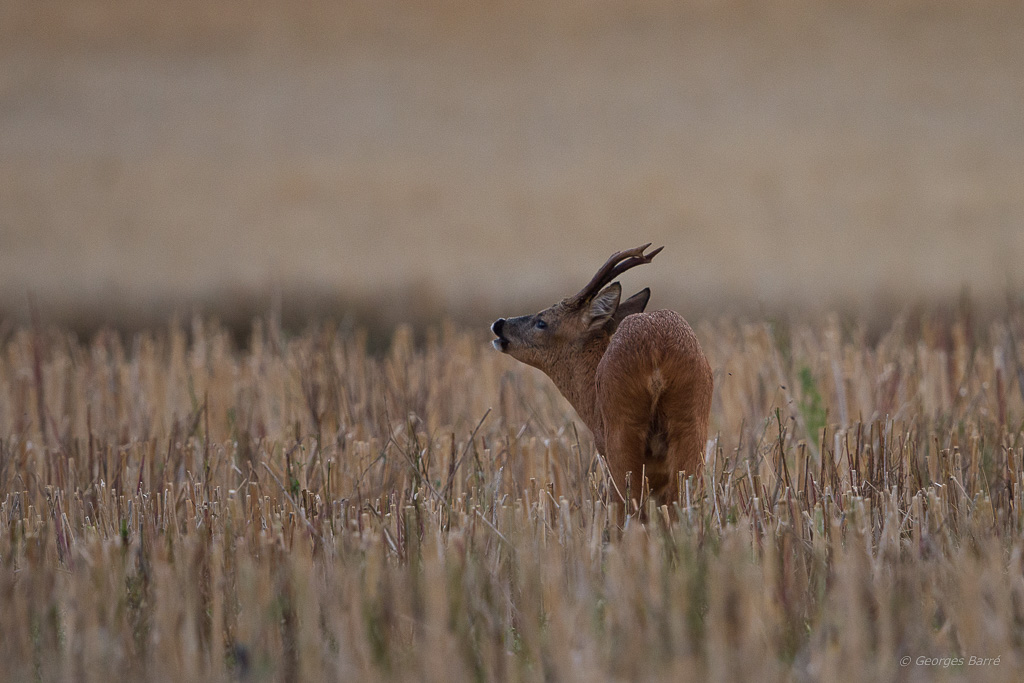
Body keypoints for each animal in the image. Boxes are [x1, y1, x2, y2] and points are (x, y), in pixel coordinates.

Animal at [491, 244, 708, 501]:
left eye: (541, 322)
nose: (499, 324)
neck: (591, 401)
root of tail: (656, 349)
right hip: (690, 424)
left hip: (621, 432)